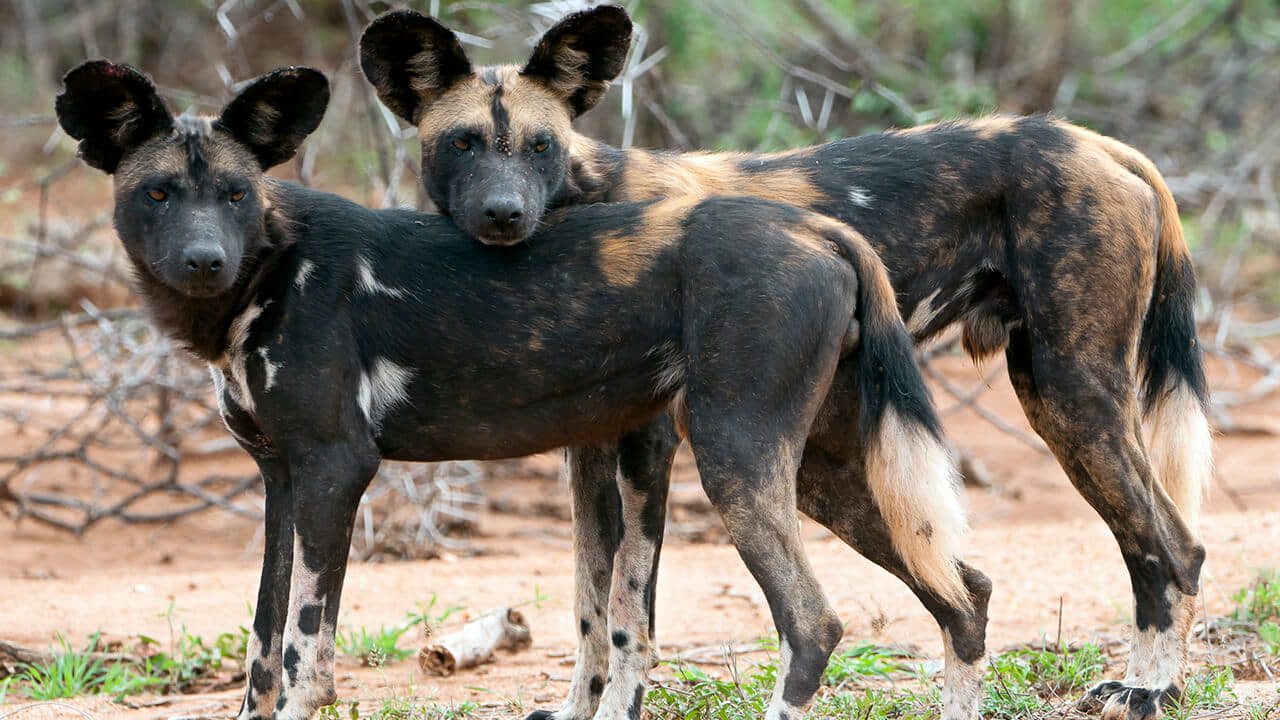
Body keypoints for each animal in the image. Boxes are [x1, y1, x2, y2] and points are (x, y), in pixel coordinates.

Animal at [55, 58, 977, 717]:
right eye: (159, 193)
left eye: (236, 194)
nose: (205, 260)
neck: (271, 271)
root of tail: (818, 227)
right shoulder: (282, 481)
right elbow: (259, 650)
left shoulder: (334, 471)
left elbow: (303, 657)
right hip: (823, 472)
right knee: (965, 596)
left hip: (735, 459)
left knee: (813, 624)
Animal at [366, 7, 1213, 717]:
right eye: (463, 143)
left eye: (540, 145)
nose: (503, 214)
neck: (582, 196)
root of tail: (1095, 141)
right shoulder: (591, 451)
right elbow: (588, 607)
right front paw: (579, 710)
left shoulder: (648, 446)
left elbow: (629, 615)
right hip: (967, 416)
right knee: (1088, 560)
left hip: (1067, 398)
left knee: (1173, 546)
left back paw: (1151, 689)